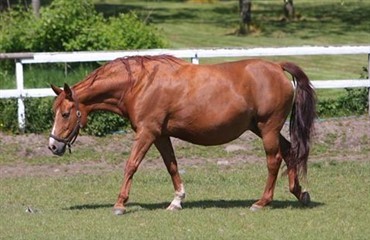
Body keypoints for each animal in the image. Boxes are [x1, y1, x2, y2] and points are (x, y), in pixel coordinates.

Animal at [48, 55, 316, 215]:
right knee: (290, 151)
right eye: (55, 111)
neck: (140, 83)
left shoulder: (147, 133)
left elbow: (131, 165)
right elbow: (172, 166)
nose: (53, 146)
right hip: (261, 128)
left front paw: (120, 204)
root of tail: (276, 66)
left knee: (274, 160)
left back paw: (262, 202)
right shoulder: (160, 135)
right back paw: (299, 192)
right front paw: (177, 200)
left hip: (268, 128)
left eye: (65, 114)